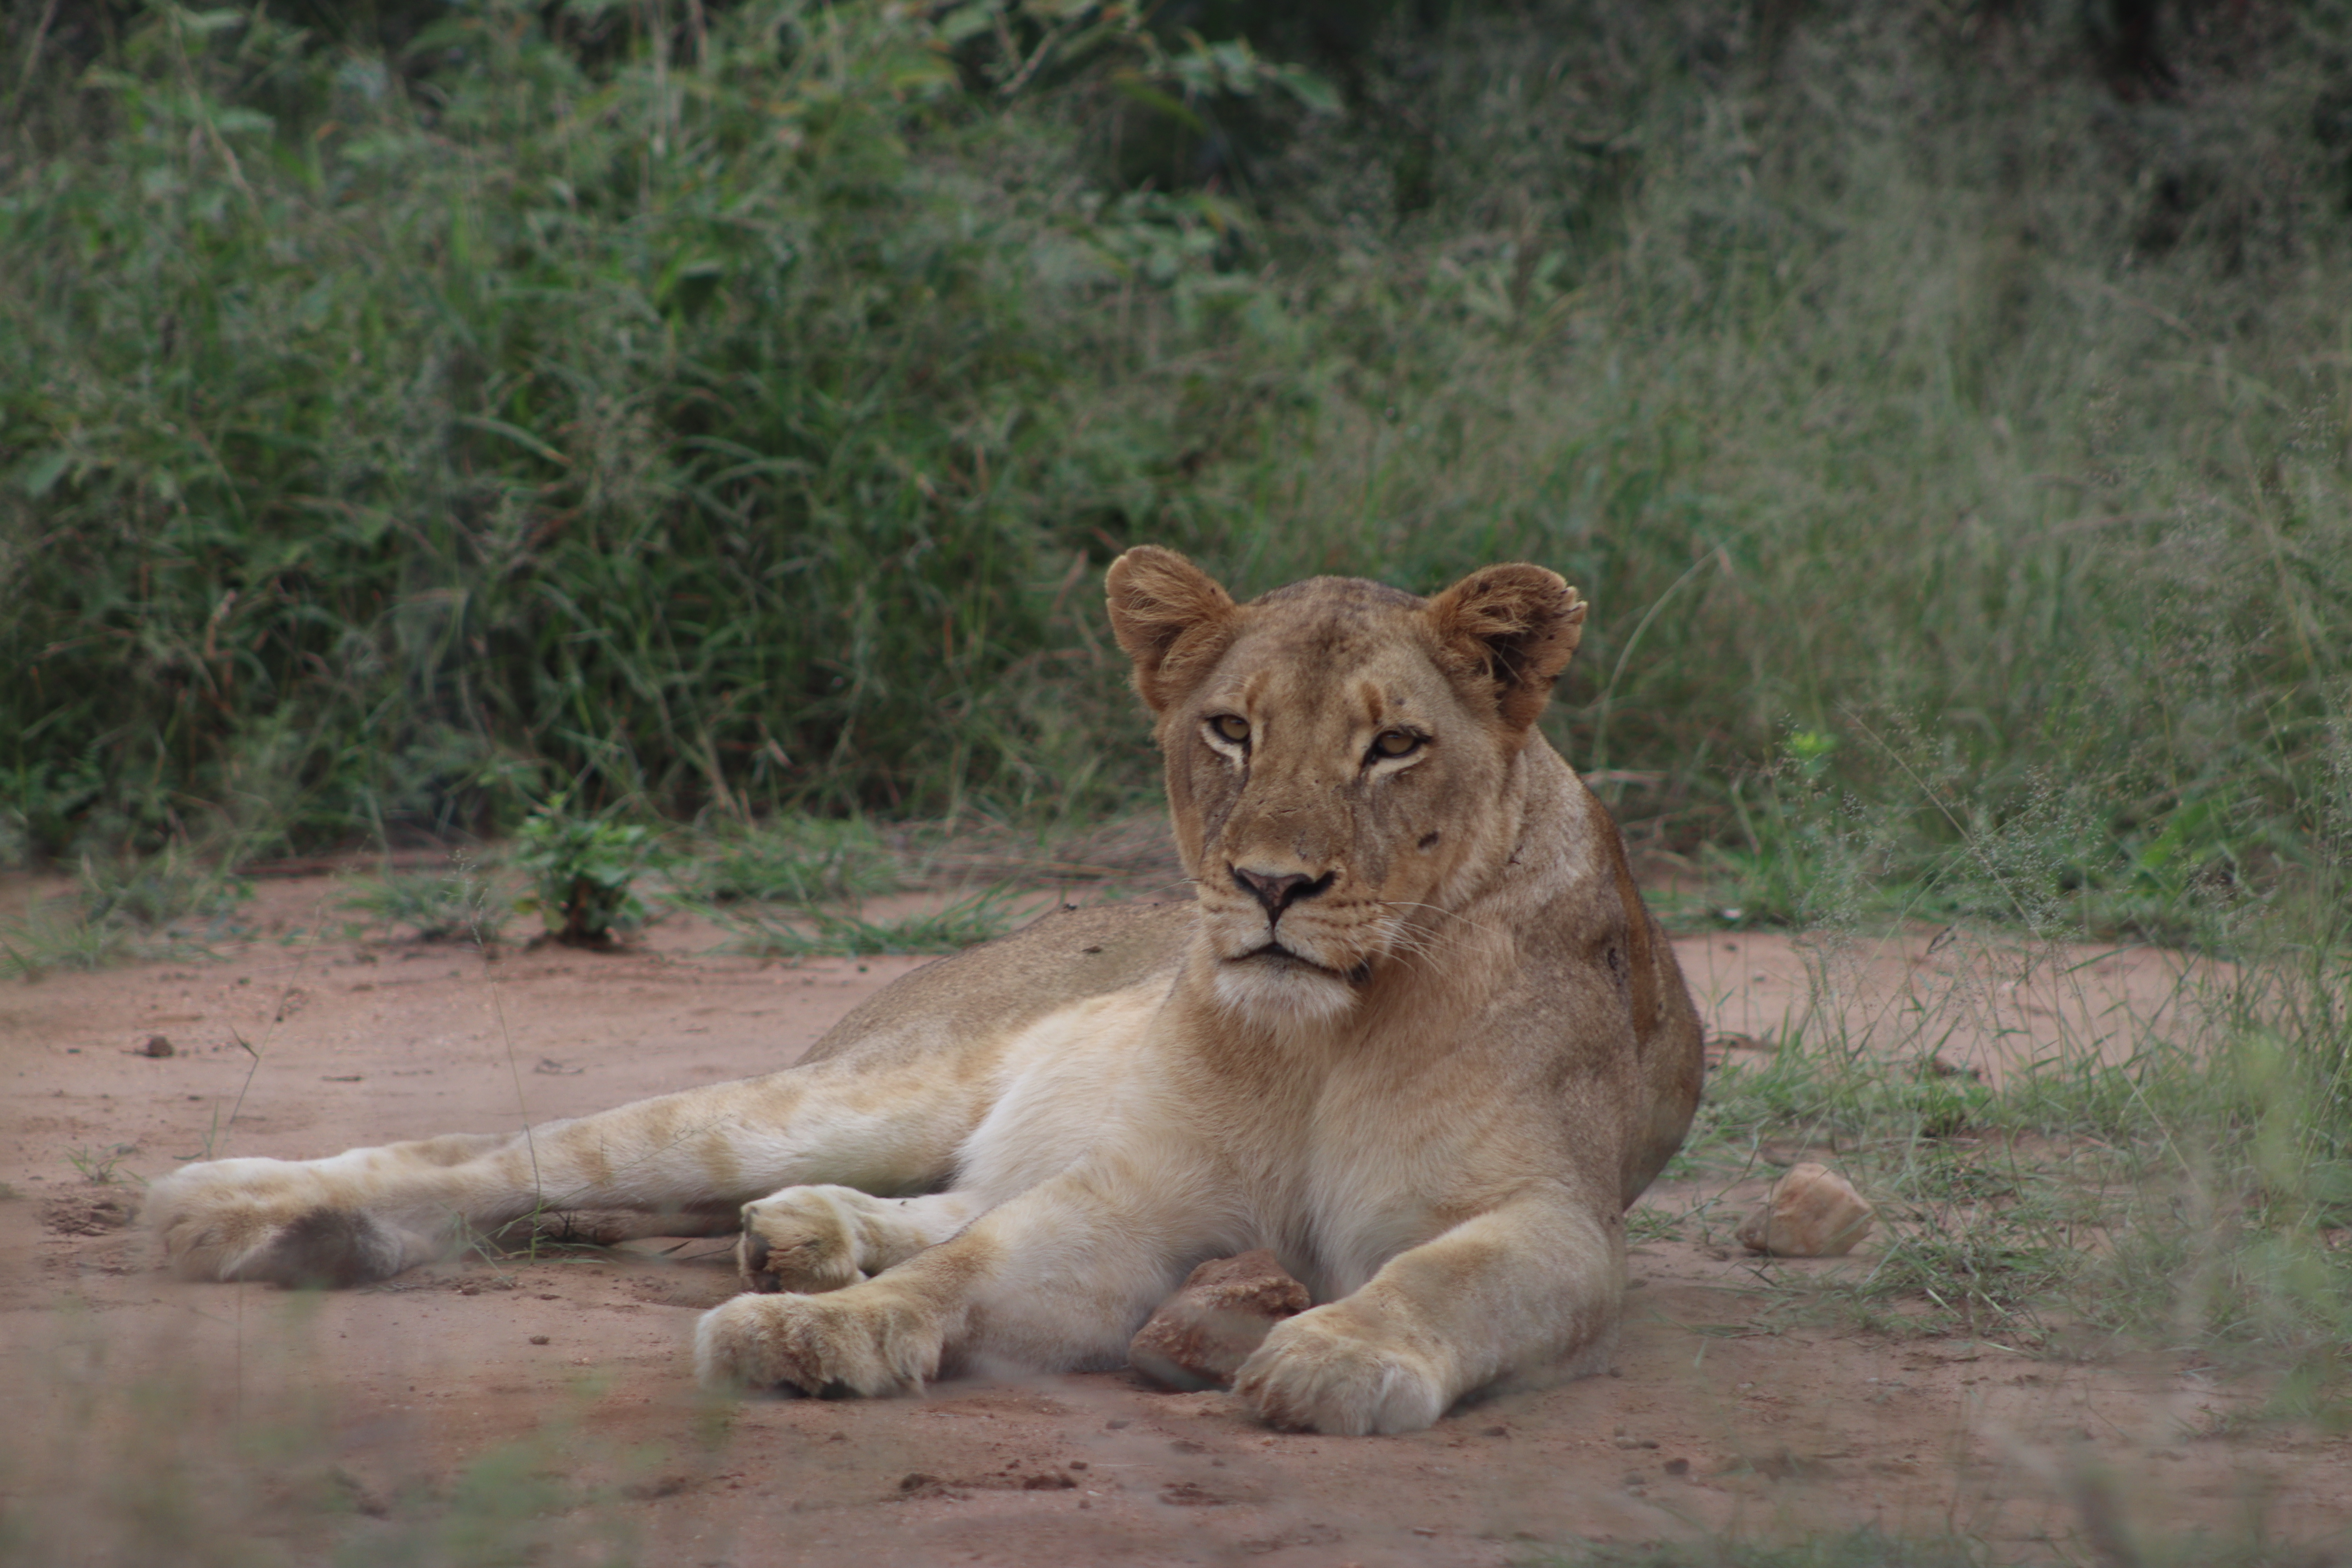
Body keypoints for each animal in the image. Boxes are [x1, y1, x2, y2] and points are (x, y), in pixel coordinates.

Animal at [142, 547, 1704, 1436]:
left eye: (1392, 744)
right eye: (1229, 729)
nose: (1271, 885)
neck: (1323, 1032)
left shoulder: (1556, 1219)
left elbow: (1442, 1272)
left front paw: (1332, 1353)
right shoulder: (1145, 1197)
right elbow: (981, 1262)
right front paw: (814, 1338)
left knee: (932, 1193)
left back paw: (805, 1237)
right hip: (849, 1091)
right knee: (517, 1155)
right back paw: (238, 1210)